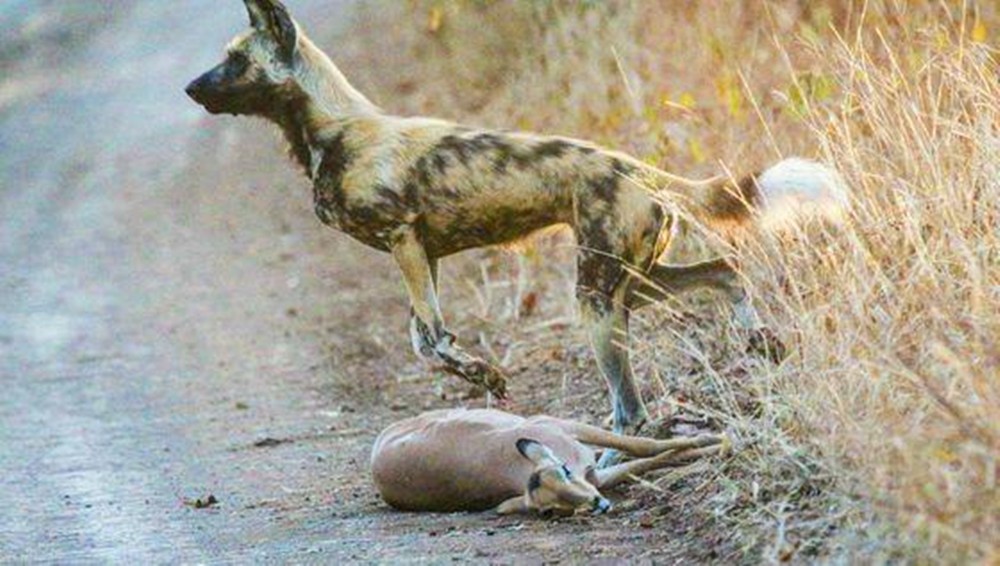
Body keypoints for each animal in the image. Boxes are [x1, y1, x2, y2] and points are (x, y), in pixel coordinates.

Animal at [186, 0, 844, 468]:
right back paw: (758, 338)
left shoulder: (403, 240)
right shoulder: (423, 252)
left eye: (235, 59)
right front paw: (479, 374)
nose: (191, 88)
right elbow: (421, 337)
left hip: (598, 299)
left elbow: (431, 339)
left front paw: (484, 375)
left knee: (629, 409)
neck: (331, 127)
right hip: (631, 283)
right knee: (724, 273)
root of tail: (634, 168)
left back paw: (606, 463)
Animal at [372, 408, 724, 520]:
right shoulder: (598, 478)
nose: (597, 505)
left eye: (565, 471)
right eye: (550, 510)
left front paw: (718, 439)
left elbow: (645, 445)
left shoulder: (570, 429)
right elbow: (648, 460)